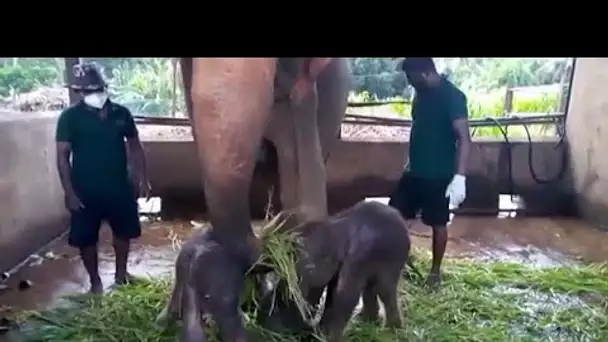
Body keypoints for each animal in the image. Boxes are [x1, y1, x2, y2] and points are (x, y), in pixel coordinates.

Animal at [253, 202, 414, 340]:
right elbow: (332, 293)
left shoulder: (358, 256)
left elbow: (344, 295)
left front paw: (326, 336)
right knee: (372, 289)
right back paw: (368, 322)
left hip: (395, 257)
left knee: (384, 288)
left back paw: (392, 330)